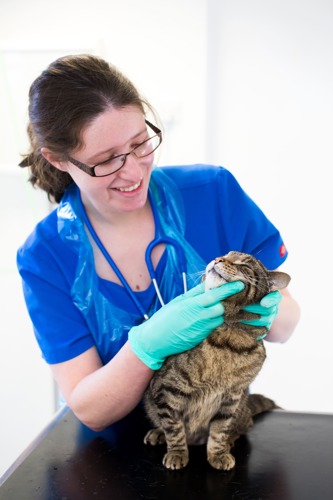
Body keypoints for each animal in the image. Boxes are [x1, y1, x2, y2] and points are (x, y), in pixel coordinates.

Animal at [143, 252, 290, 470]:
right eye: (227, 254)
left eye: (244, 265)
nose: (218, 258)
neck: (227, 337)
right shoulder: (167, 389)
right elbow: (174, 428)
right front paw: (177, 453)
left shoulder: (231, 398)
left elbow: (220, 430)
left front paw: (218, 454)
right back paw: (158, 433)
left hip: (241, 408)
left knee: (243, 427)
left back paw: (229, 442)